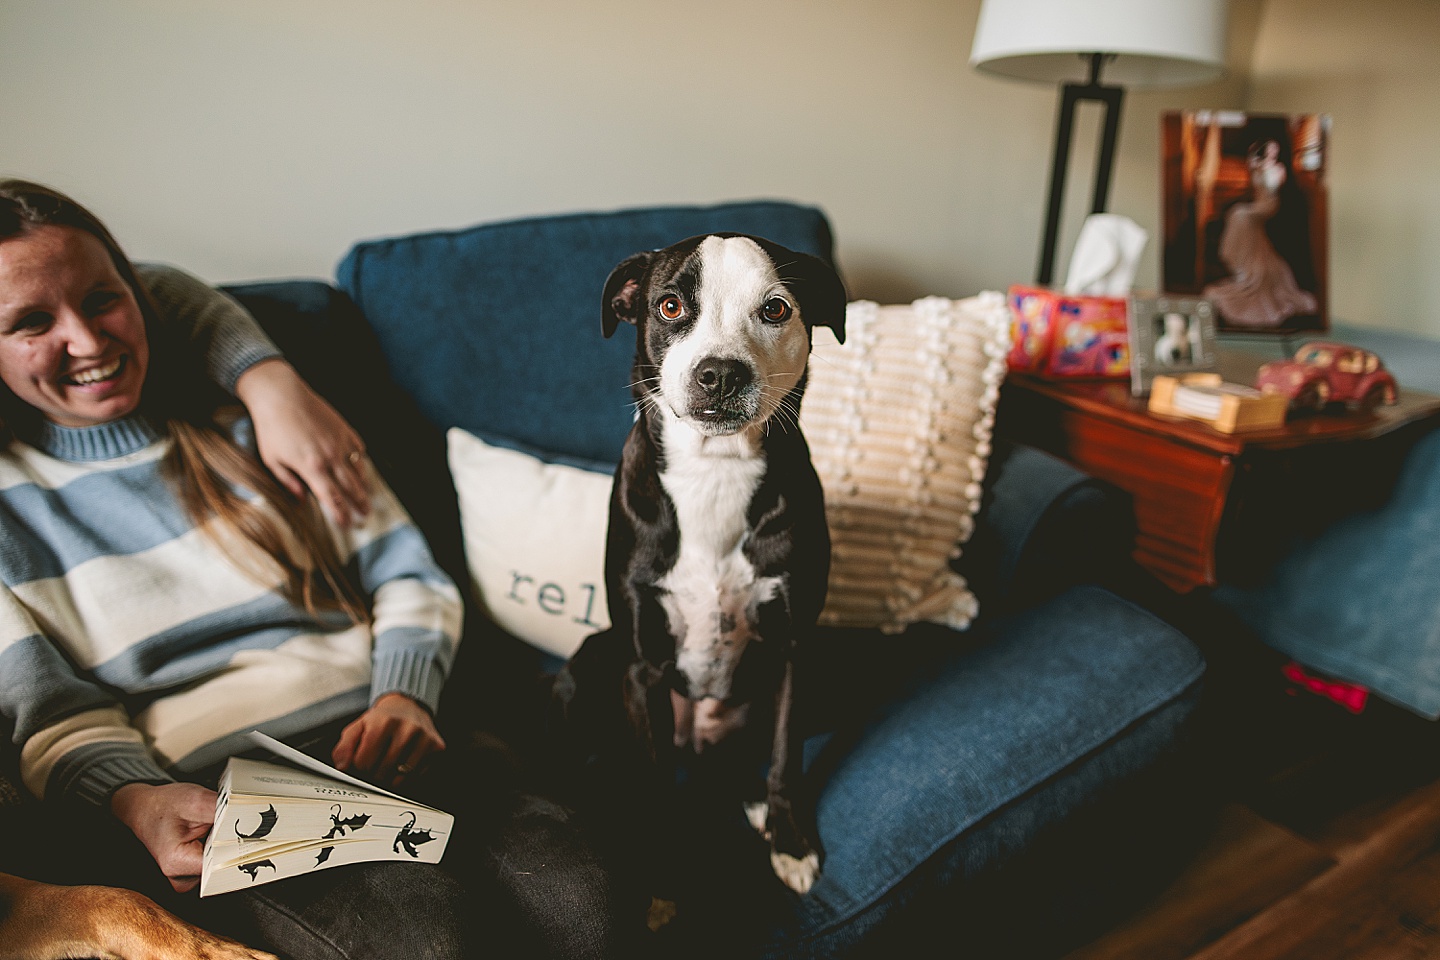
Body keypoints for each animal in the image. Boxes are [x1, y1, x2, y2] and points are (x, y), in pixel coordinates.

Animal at [550, 233, 840, 892]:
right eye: (671, 307)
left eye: (776, 309)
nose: (721, 373)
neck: (715, 470)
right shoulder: (644, 664)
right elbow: (656, 777)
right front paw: (659, 861)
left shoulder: (794, 651)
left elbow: (786, 756)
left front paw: (789, 838)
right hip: (593, 659)